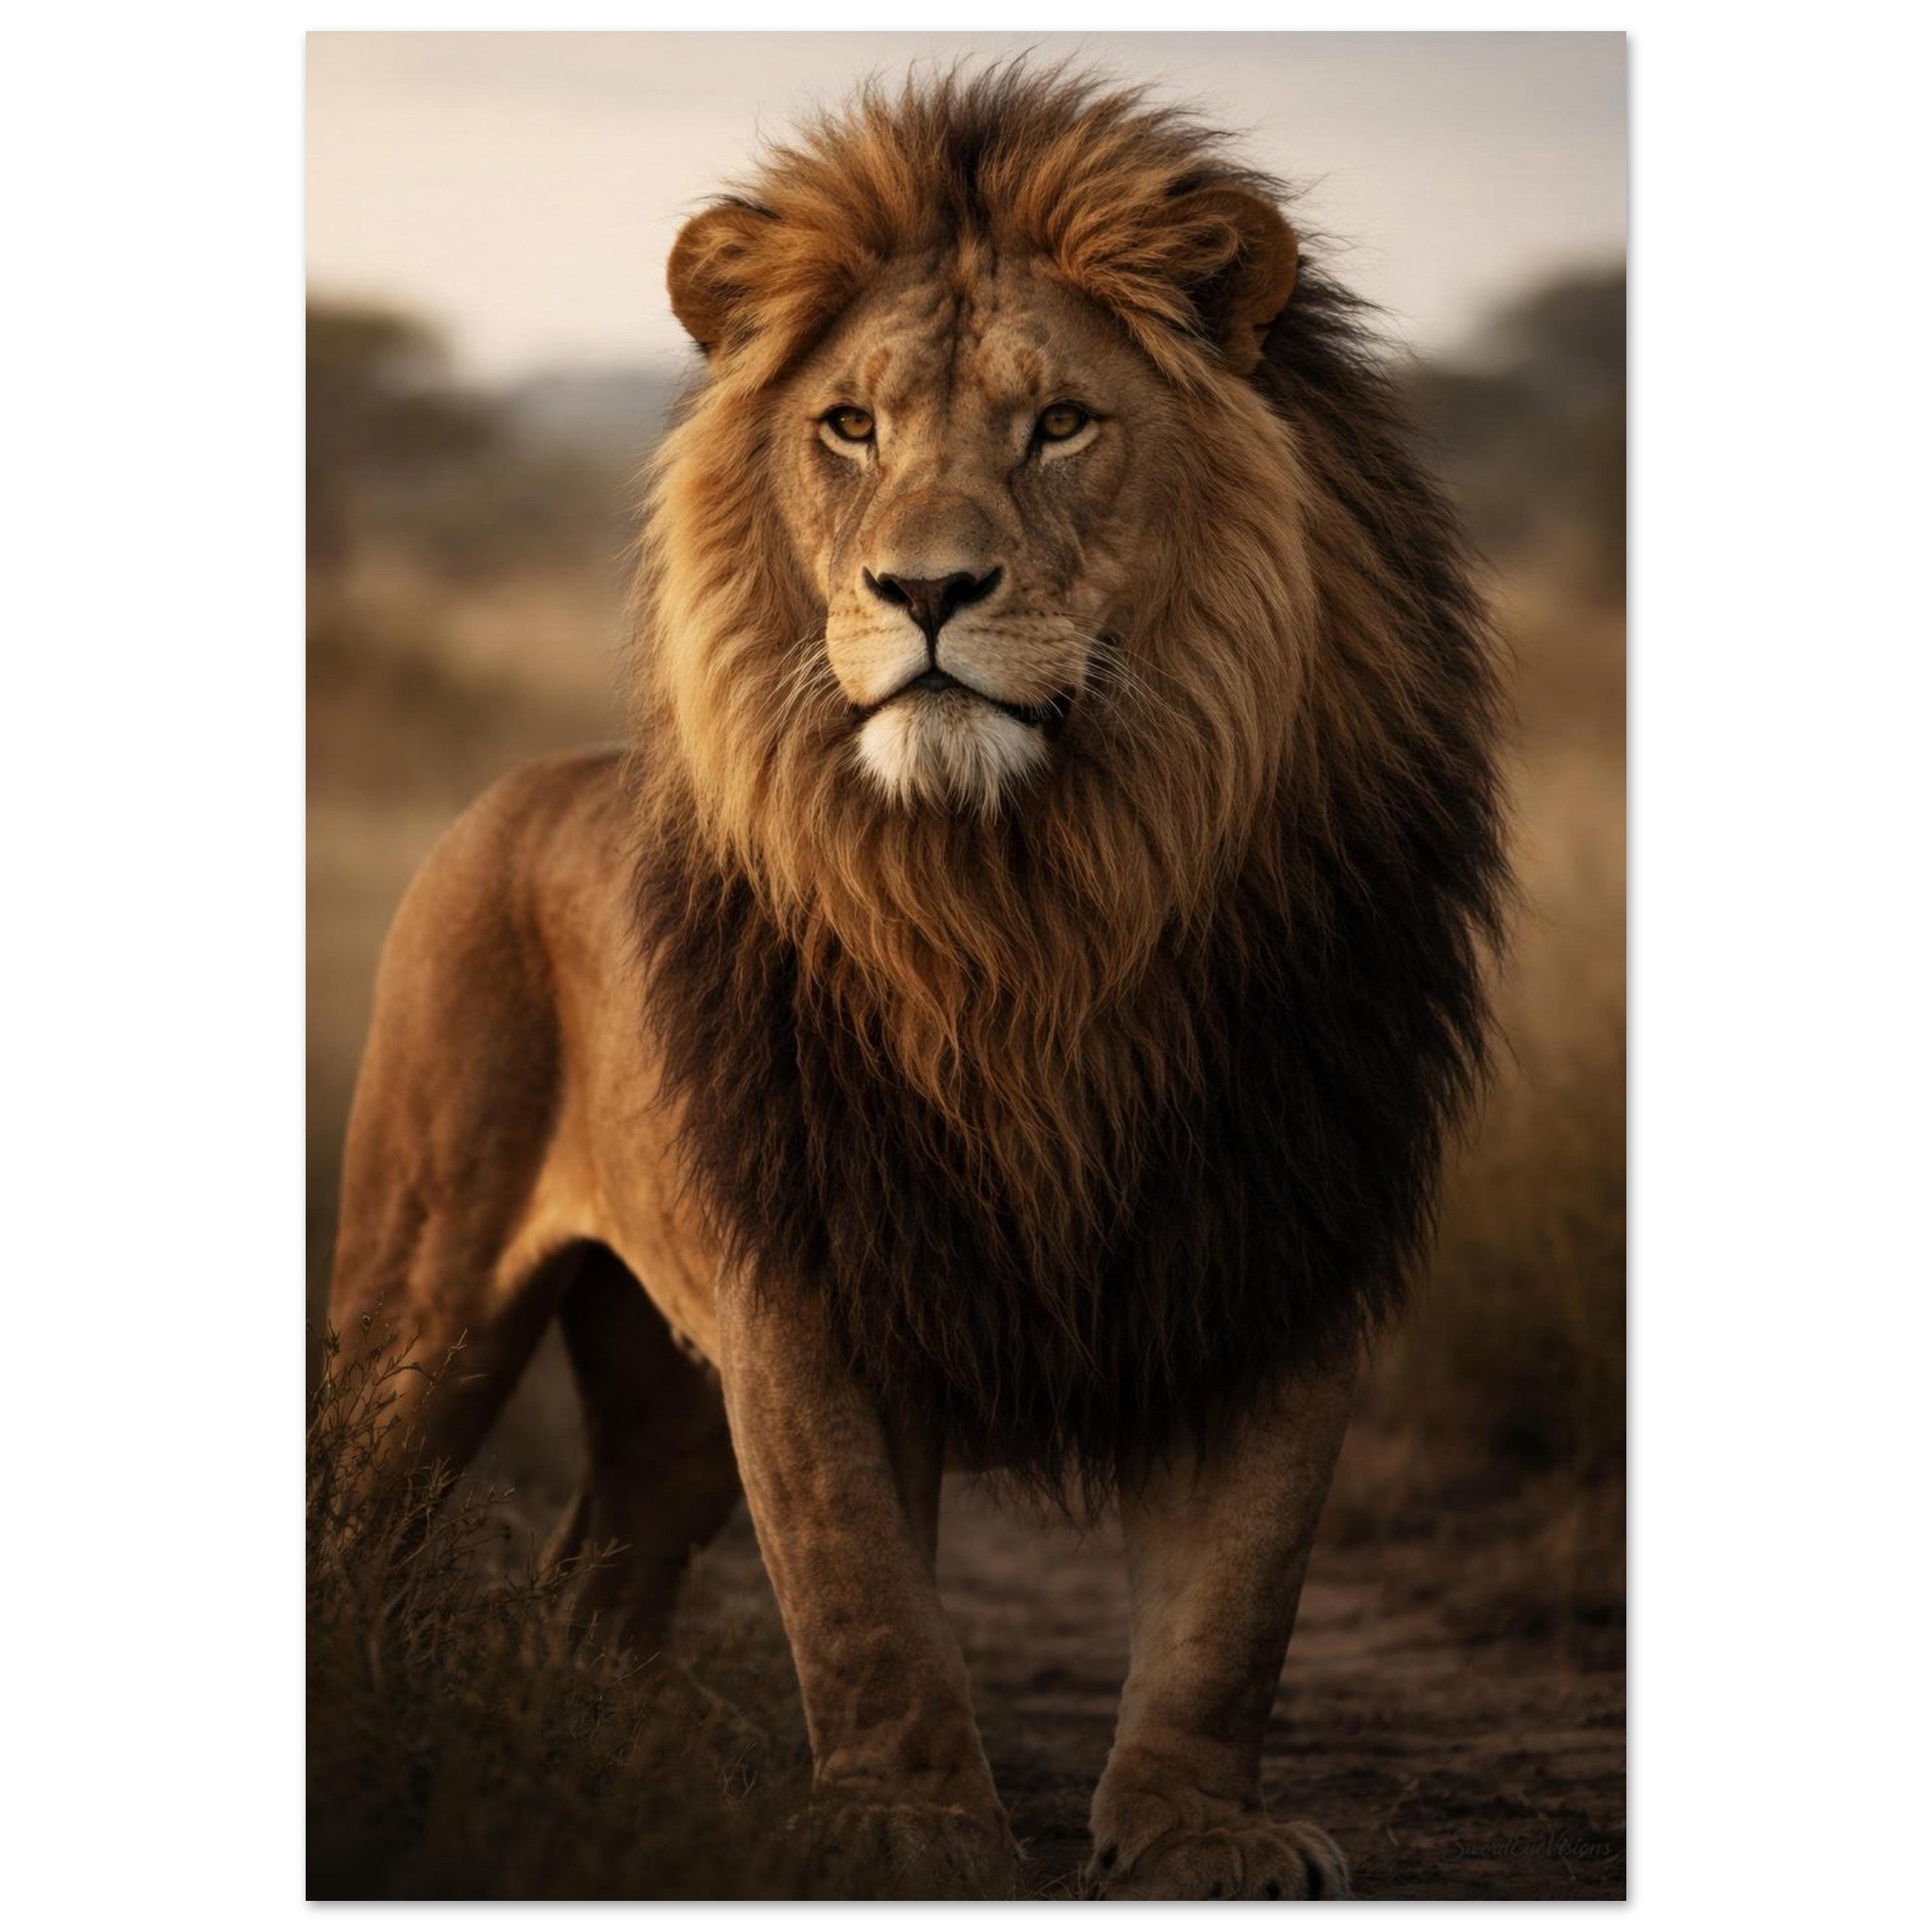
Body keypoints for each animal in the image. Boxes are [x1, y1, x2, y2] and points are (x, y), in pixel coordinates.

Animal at [327, 68, 1506, 1900]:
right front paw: (900, 1821)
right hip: (422, 1294)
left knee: (597, 1570)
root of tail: (518, 788)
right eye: (851, 429)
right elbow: (858, 1589)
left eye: (1061, 425)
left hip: (661, 1383)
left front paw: (1200, 1830)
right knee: (363, 1515)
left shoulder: (1281, 1244)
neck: (1025, 908)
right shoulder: (807, 1272)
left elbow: (1234, 1601)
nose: (927, 590)